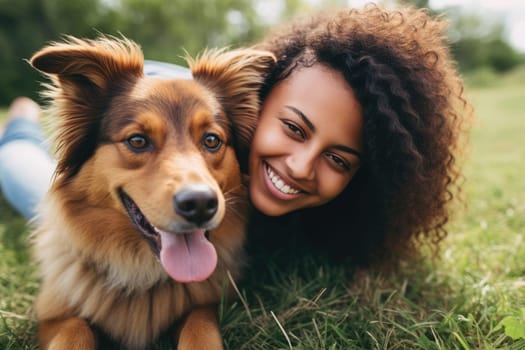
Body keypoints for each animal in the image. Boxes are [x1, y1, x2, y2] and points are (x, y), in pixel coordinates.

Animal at [28, 37, 274, 348]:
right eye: (137, 141)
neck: (141, 273)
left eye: (211, 140)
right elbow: (74, 329)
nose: (200, 204)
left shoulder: (205, 305)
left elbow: (200, 327)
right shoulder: (54, 315)